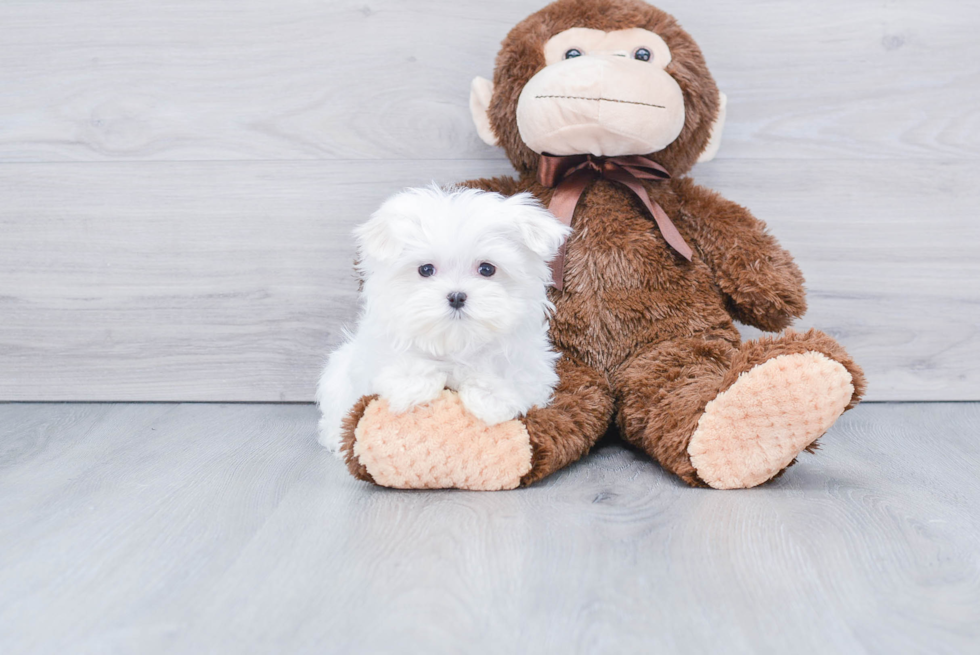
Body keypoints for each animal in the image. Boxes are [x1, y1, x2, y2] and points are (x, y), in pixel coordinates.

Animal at [318, 182, 572, 454]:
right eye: (426, 270)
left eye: (487, 269)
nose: (457, 296)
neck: (456, 342)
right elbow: (400, 363)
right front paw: (410, 388)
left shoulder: (530, 367)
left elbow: (508, 377)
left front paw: (490, 400)